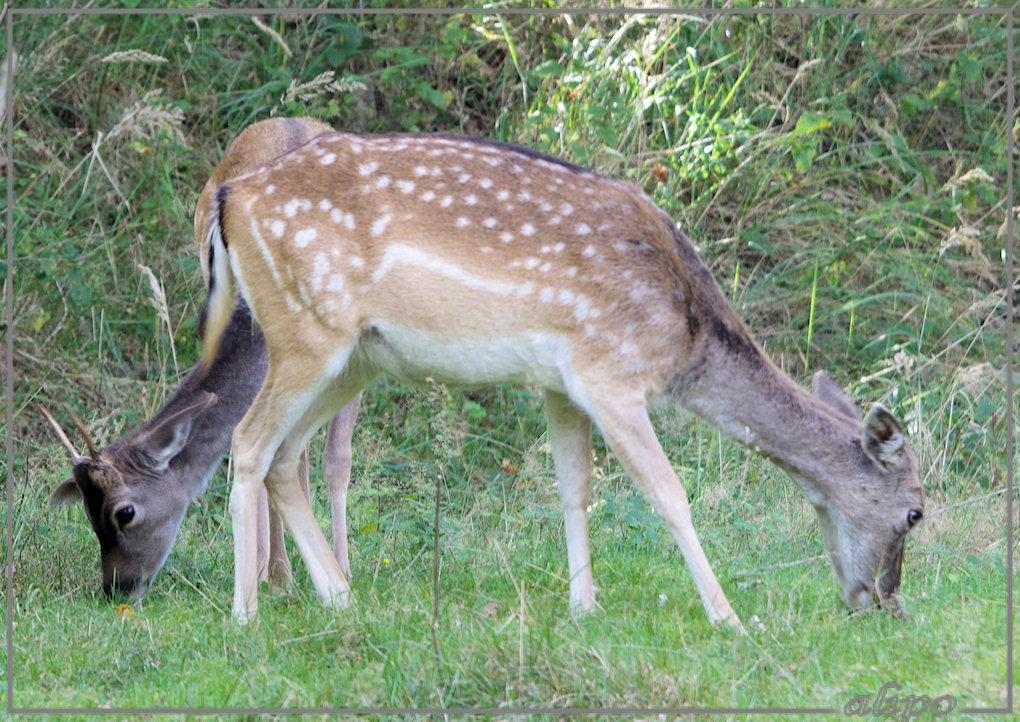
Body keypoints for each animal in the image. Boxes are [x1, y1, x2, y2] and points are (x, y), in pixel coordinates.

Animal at [45, 118, 363, 599]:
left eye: (124, 512)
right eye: (85, 513)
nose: (117, 587)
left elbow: (338, 458)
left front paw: (341, 570)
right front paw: (273, 575)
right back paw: (277, 572)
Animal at [196, 129, 926, 624]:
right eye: (916, 512)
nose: (882, 602)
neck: (683, 334)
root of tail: (231, 196)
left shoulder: (559, 380)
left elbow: (574, 487)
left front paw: (583, 608)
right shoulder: (611, 373)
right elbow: (668, 493)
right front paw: (728, 618)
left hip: (356, 357)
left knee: (287, 454)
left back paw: (340, 598)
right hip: (303, 333)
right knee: (248, 441)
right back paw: (246, 612)